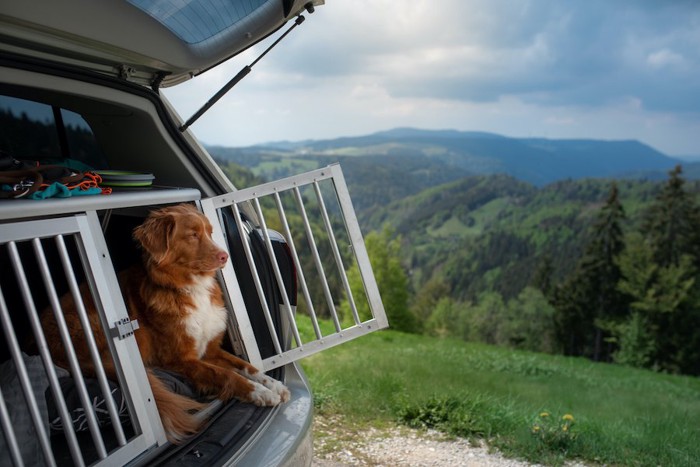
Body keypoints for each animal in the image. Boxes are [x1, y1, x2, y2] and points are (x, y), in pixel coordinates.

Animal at [41, 204, 290, 442]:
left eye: (210, 233)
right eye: (193, 235)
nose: (225, 256)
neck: (190, 287)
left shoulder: (210, 350)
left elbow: (246, 366)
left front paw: (272, 384)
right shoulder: (180, 359)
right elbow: (227, 375)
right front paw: (259, 393)